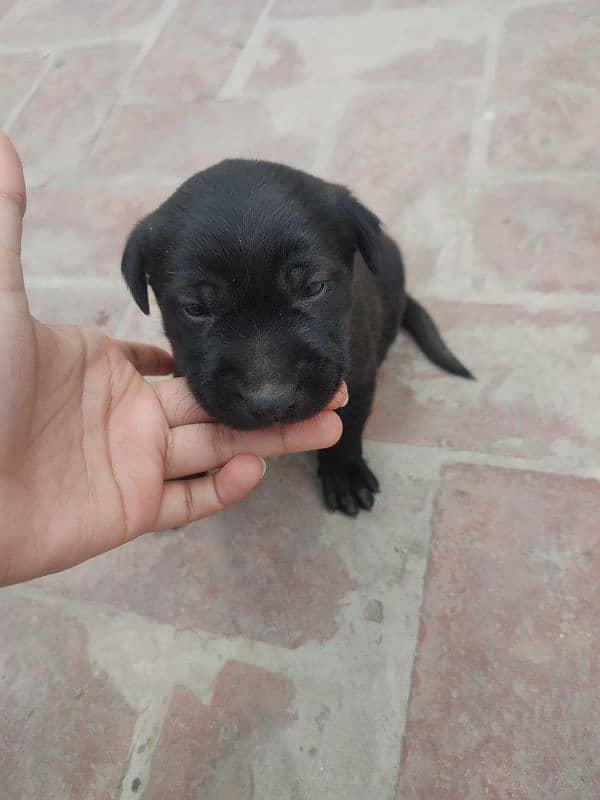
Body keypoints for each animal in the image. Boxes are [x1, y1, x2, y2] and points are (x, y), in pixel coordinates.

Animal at [122, 159, 472, 516]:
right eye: (195, 308)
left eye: (314, 287)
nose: (271, 402)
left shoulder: (359, 375)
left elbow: (348, 426)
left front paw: (344, 472)